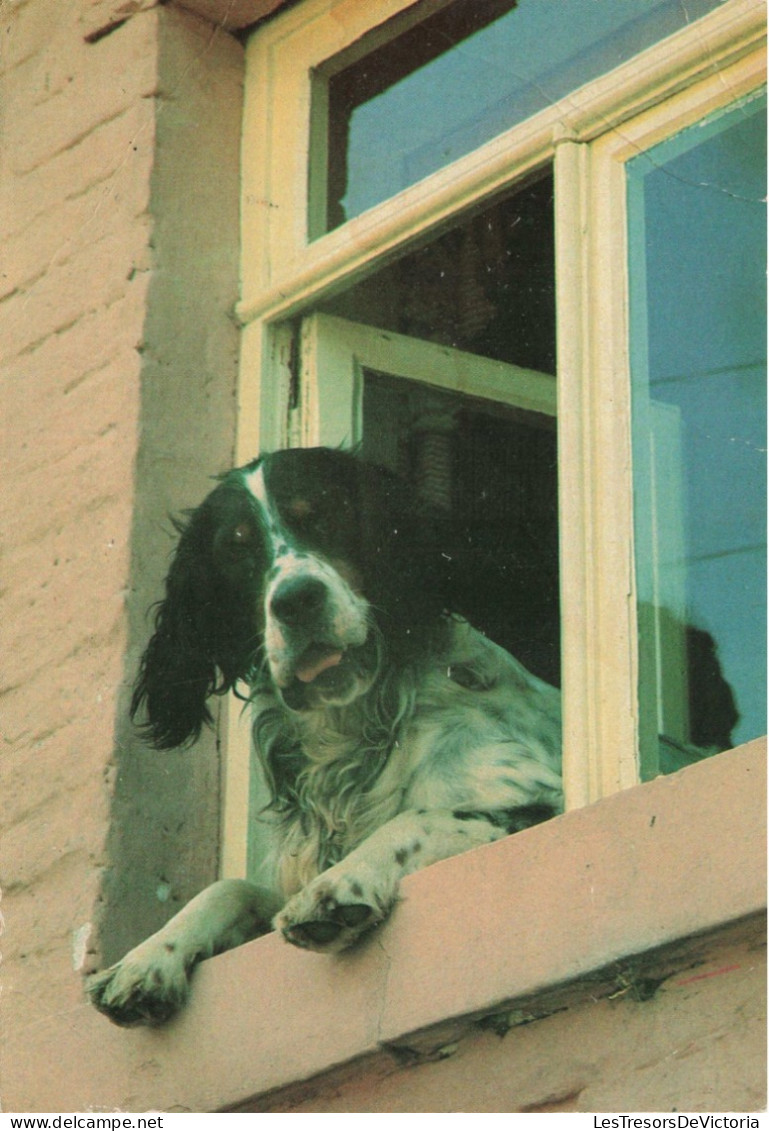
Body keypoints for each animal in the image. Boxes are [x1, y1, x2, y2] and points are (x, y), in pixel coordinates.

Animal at [87, 447, 560, 1026]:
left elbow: (422, 816)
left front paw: (342, 884)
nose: (296, 600)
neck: (355, 730)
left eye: (326, 516)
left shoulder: (543, 800)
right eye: (235, 550)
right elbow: (228, 887)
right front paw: (150, 957)